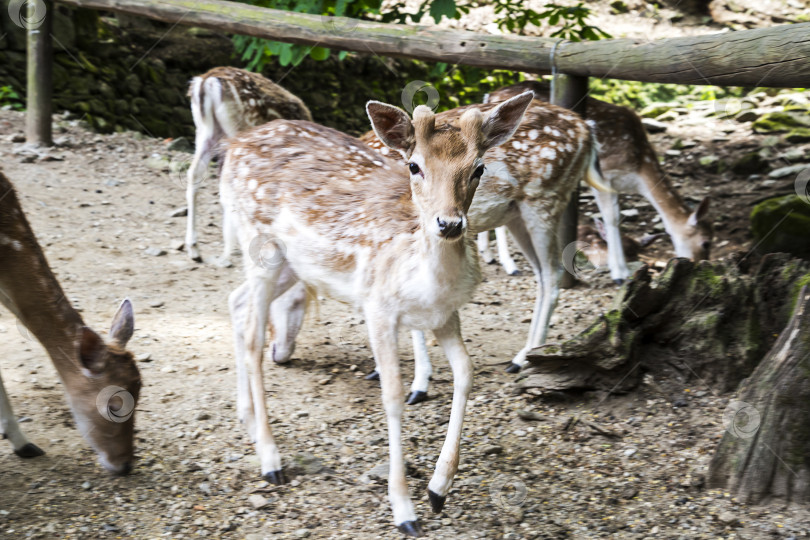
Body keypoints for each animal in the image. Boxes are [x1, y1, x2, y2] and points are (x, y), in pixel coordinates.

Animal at [185, 67, 310, 264]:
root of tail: (207, 81)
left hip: (205, 131)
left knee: (194, 174)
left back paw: (194, 249)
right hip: (238, 128)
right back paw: (229, 249)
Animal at [221, 94, 536, 536]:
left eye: (479, 168)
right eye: (414, 165)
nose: (449, 223)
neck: (427, 278)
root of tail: (234, 146)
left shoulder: (445, 315)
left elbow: (467, 373)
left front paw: (438, 490)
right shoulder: (378, 309)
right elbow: (392, 396)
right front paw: (404, 509)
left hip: (291, 265)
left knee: (235, 303)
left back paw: (247, 421)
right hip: (260, 245)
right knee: (253, 337)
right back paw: (271, 460)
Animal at [476, 80, 712, 282]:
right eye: (705, 242)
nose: (700, 268)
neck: (639, 171)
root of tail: (490, 95)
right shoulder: (605, 174)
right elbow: (612, 218)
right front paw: (620, 274)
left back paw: (487, 254)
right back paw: (510, 265)